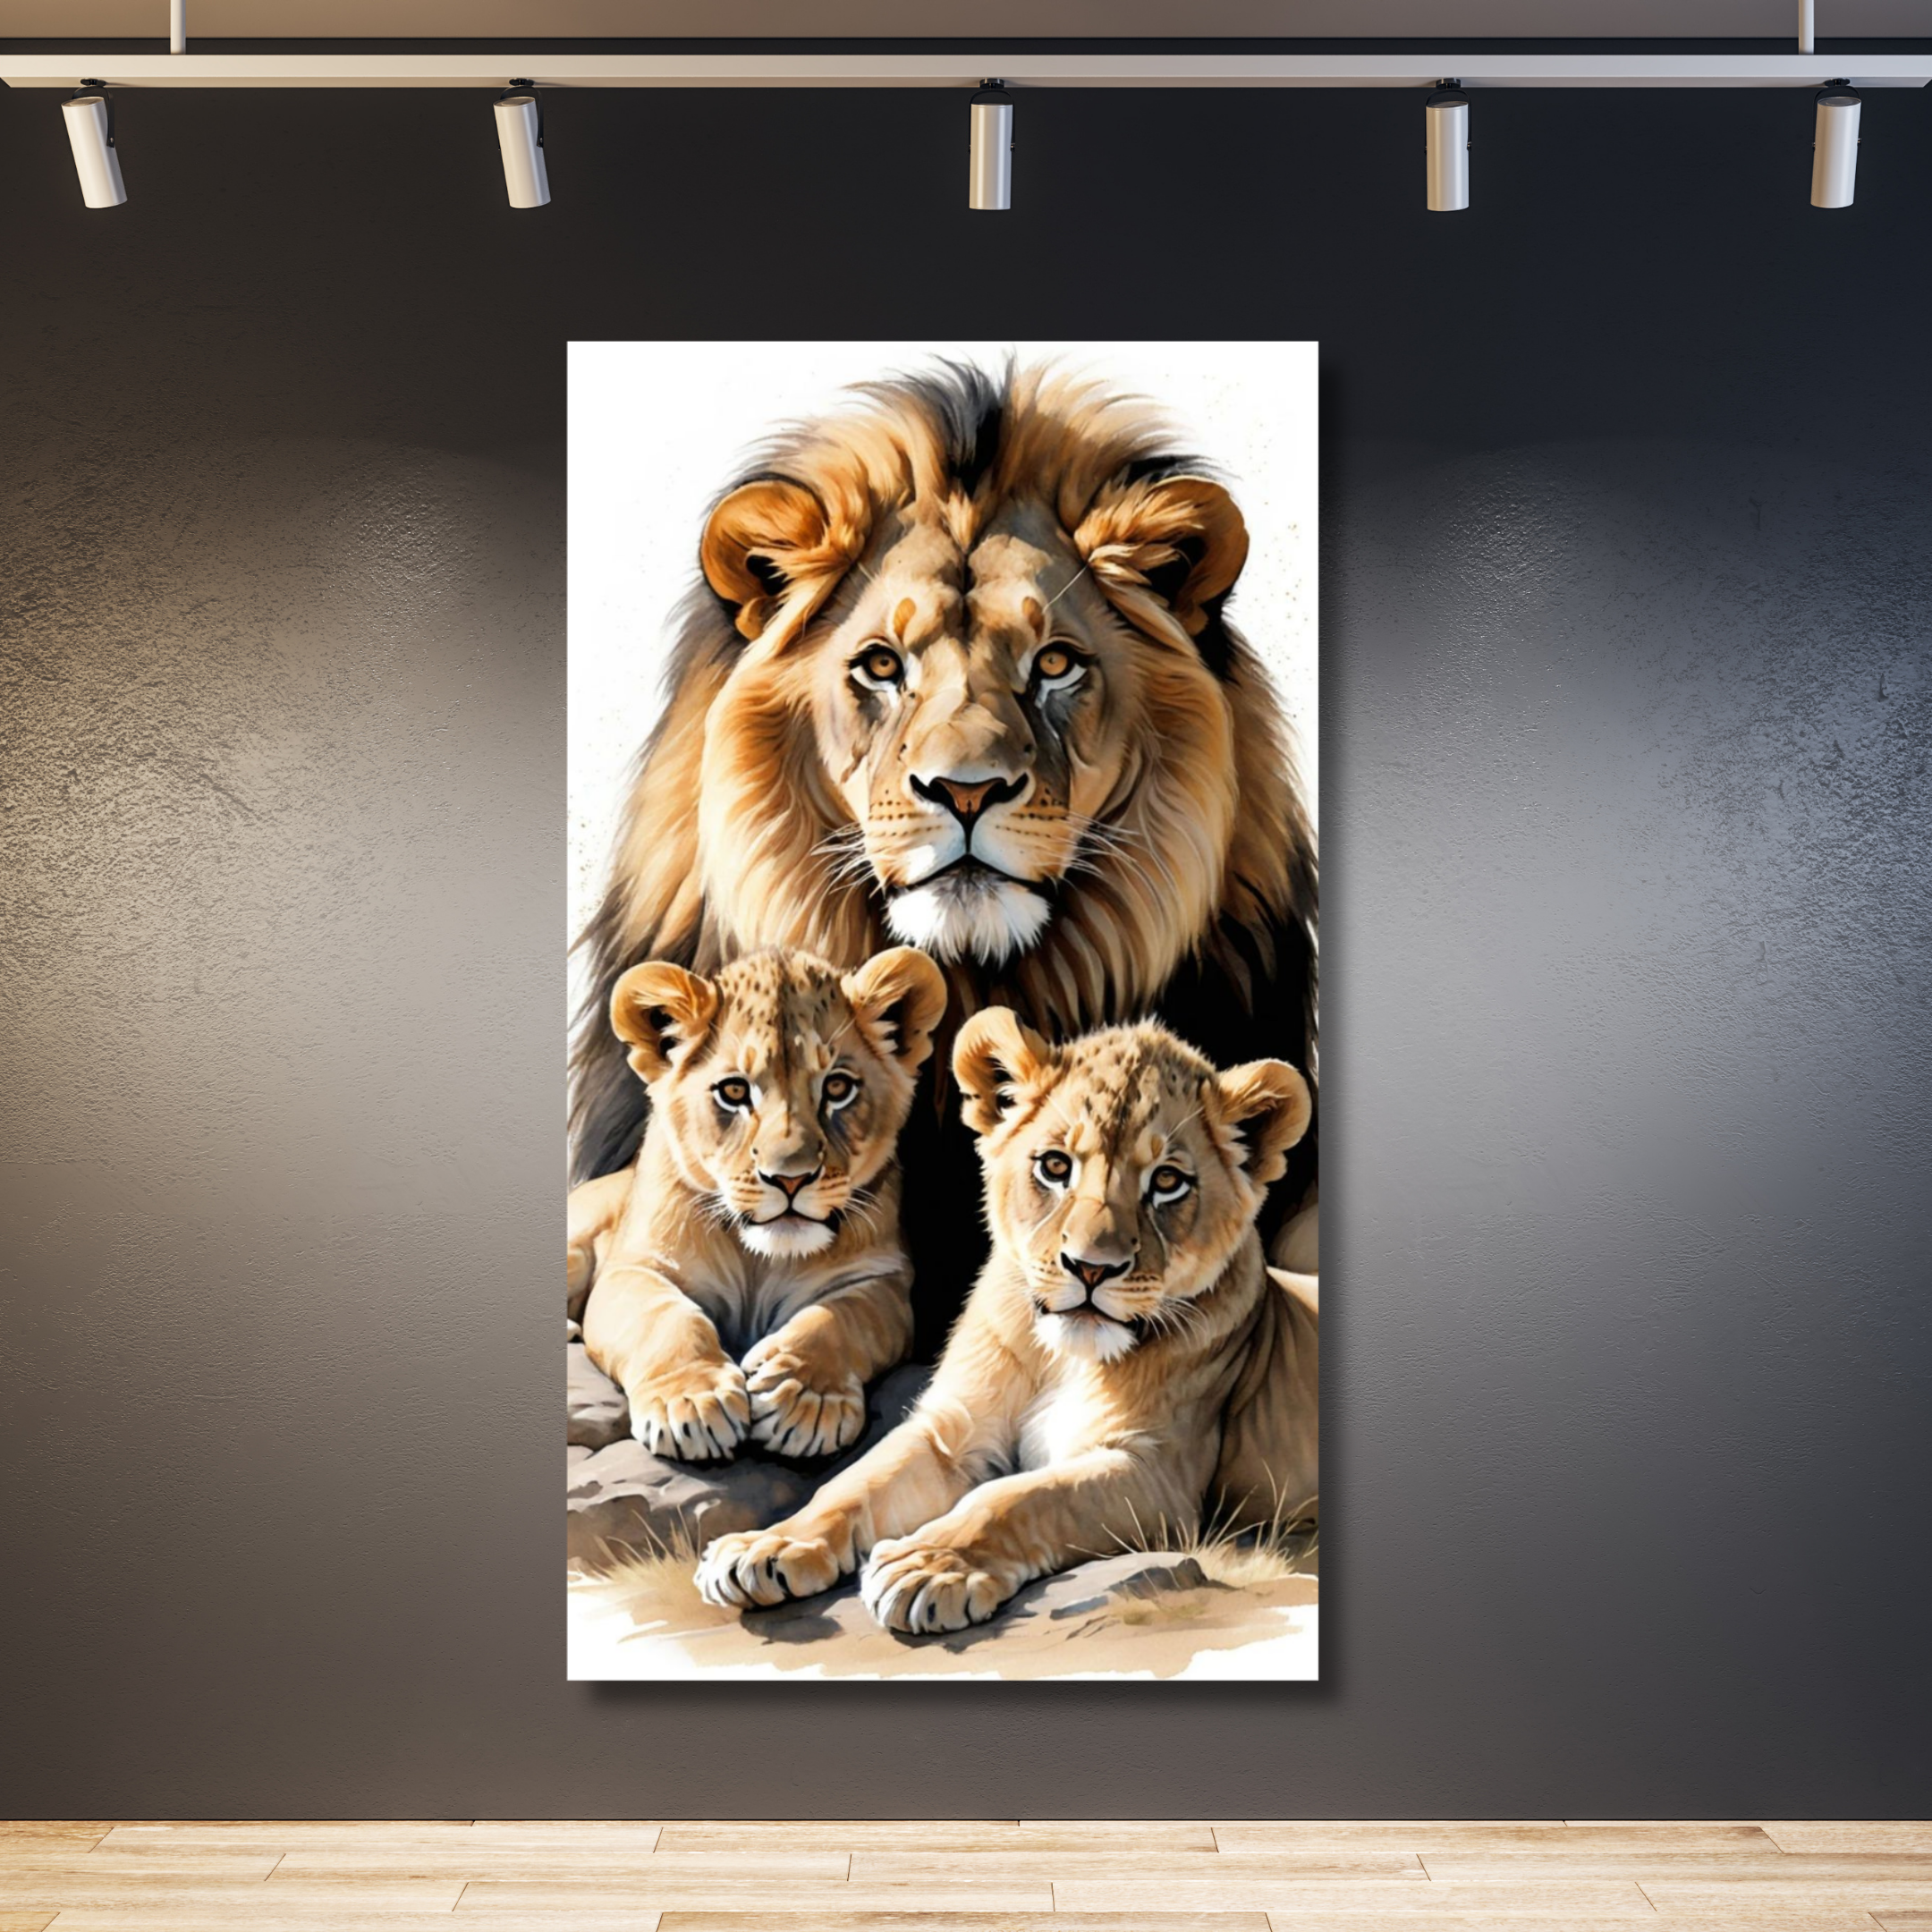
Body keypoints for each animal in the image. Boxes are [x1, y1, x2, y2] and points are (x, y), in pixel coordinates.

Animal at [571, 943, 946, 1462]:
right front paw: (691, 1402)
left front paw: (804, 1398)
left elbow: (839, 1320)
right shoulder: (636, 1267)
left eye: (837, 1087)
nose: (790, 1179)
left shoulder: (881, 1279)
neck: (761, 1262)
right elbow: (665, 1319)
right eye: (733, 1091)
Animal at [694, 1008, 1318, 1631]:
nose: (1091, 1268)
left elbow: (1018, 1499)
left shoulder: (1158, 1475)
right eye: (1056, 1166)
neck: (1064, 1358)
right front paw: (765, 1546)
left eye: (1167, 1182)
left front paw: (928, 1566)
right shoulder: (951, 1430)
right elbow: (853, 1484)